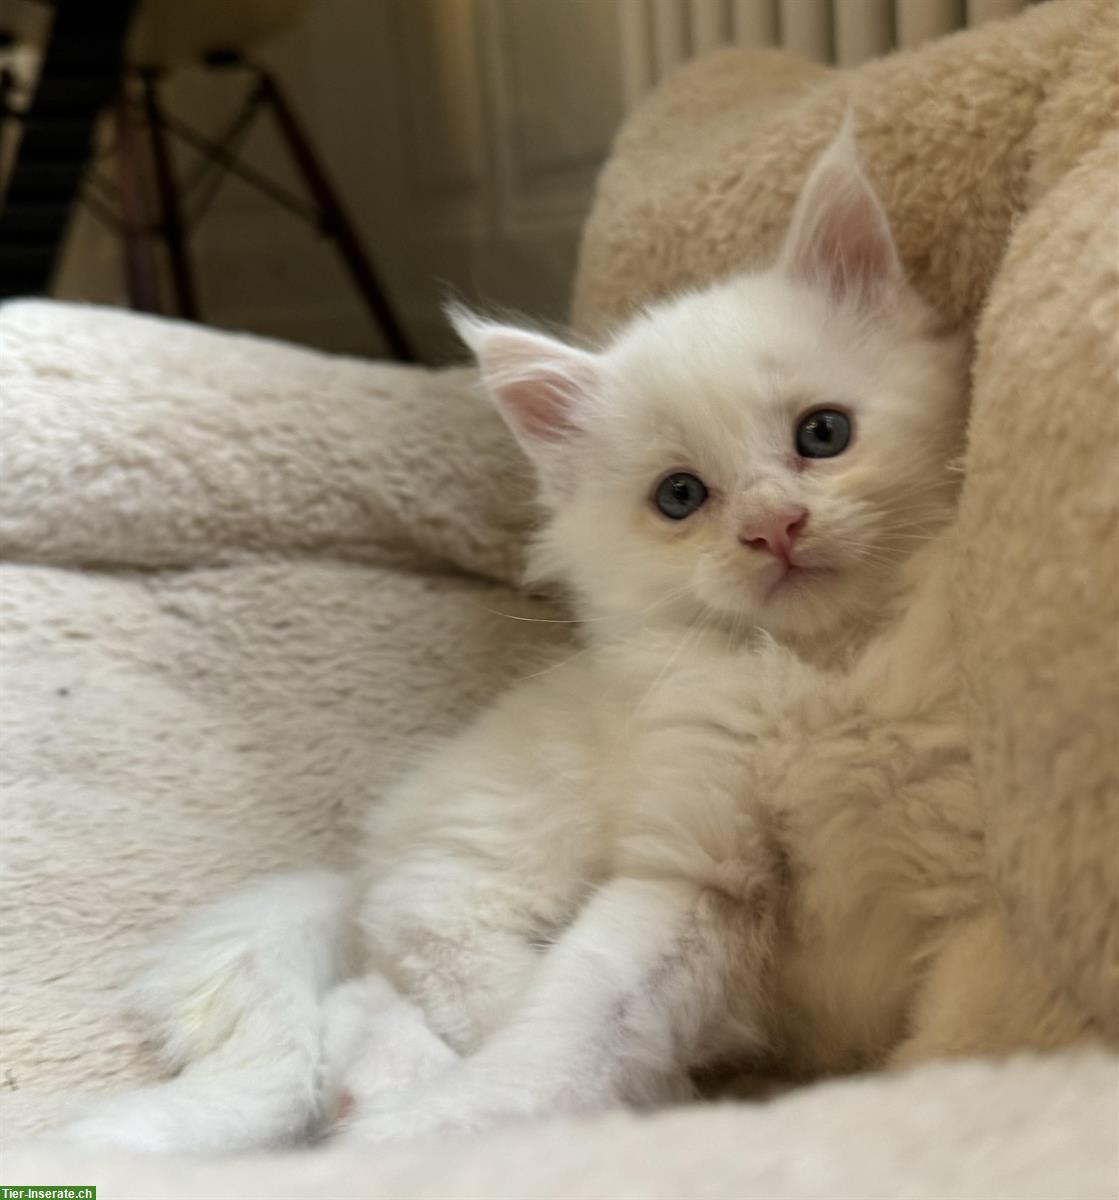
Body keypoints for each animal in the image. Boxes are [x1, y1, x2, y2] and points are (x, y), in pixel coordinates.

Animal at [63, 119, 1085, 1152]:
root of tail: (361, 860)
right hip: (507, 847)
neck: (817, 674)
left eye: (823, 434)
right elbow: (569, 1029)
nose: (772, 528)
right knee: (411, 960)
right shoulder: (686, 873)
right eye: (680, 497)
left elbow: (954, 1055)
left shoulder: (972, 901)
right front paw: (450, 1132)